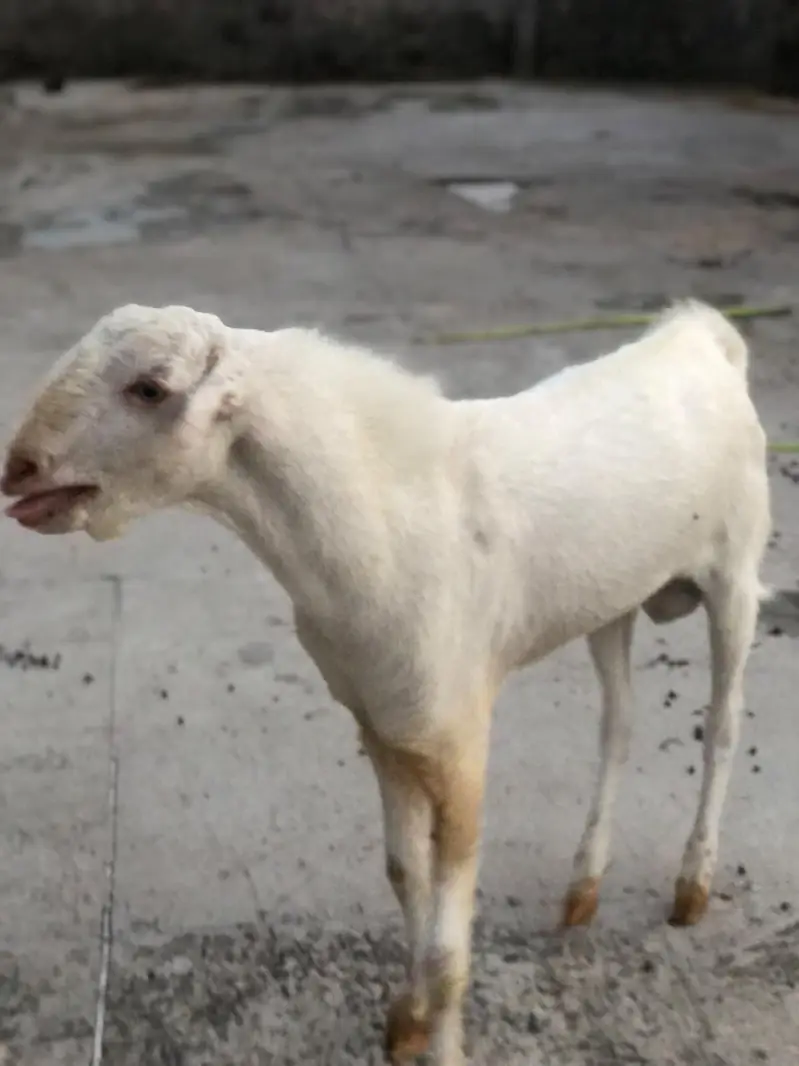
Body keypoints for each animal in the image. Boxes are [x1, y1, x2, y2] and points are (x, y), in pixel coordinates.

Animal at [1, 300, 771, 1065]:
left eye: (150, 388)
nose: (18, 470)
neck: (386, 525)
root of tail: (699, 336)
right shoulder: (380, 724)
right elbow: (406, 873)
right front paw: (408, 1019)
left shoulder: (458, 738)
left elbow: (449, 949)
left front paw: (441, 1040)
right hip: (611, 604)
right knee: (618, 724)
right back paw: (584, 886)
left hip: (735, 574)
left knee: (723, 723)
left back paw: (691, 885)